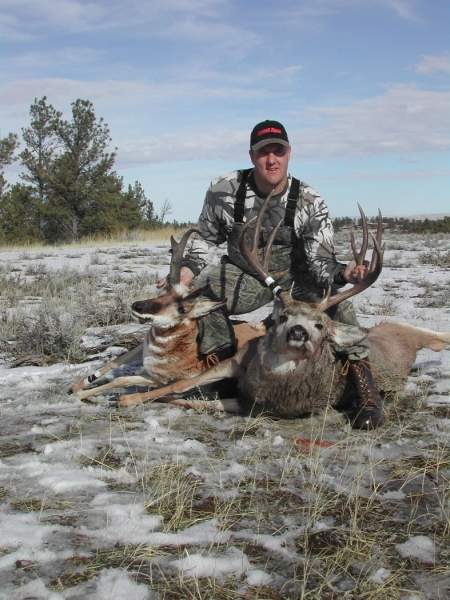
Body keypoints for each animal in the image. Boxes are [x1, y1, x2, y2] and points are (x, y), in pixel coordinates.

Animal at [91, 199, 450, 414]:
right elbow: (176, 386)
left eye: (320, 325)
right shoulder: (231, 369)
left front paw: (128, 396)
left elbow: (179, 391)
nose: (298, 333)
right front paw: (117, 394)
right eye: (280, 316)